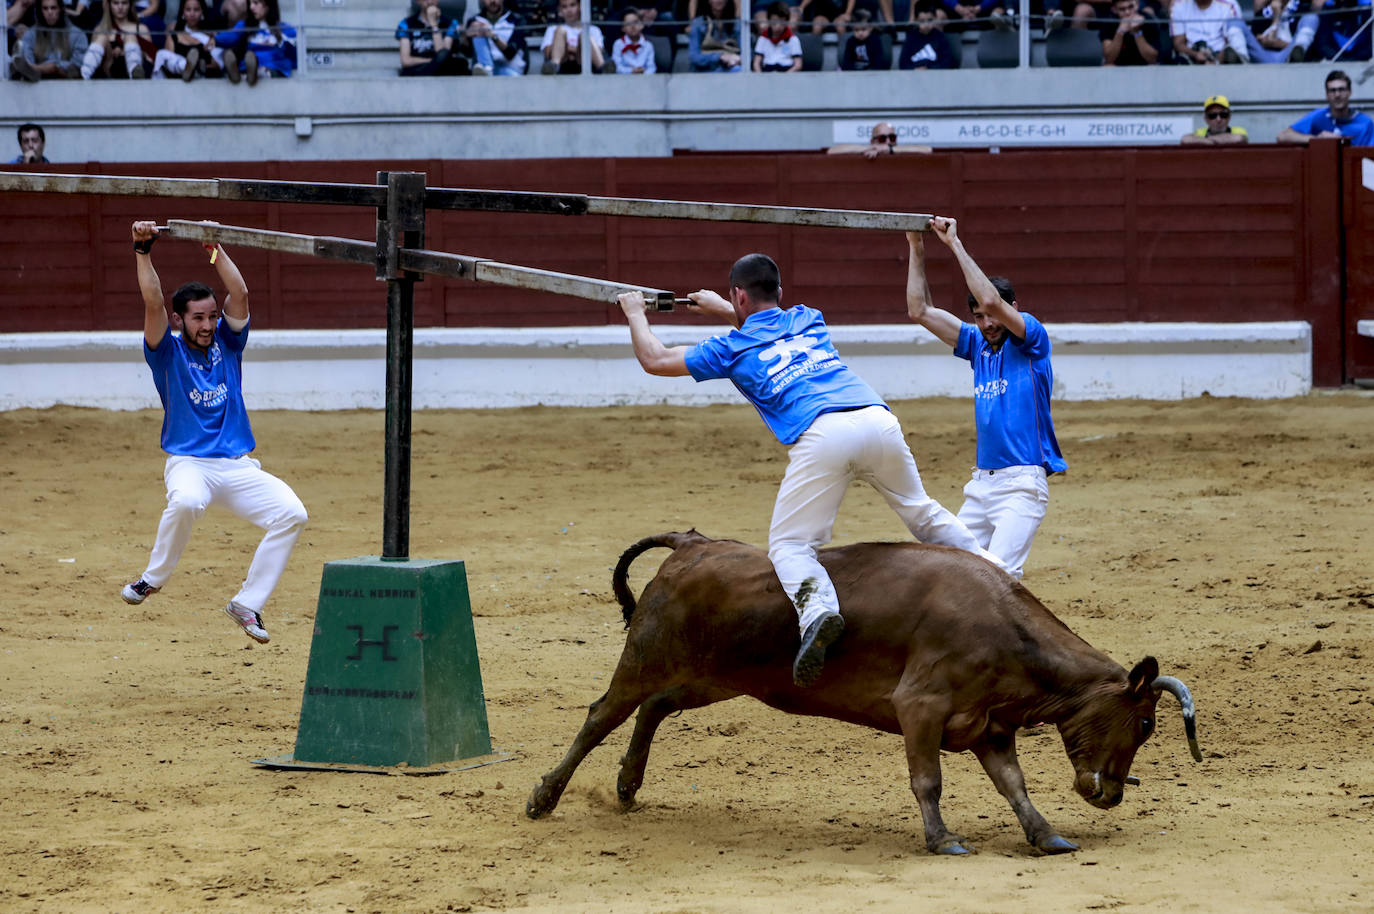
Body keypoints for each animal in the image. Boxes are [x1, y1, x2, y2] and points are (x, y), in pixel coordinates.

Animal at [524, 530, 1203, 852]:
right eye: (1146, 724)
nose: (1109, 795)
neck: (1003, 630)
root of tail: (693, 543)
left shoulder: (989, 726)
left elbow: (1014, 786)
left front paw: (1047, 837)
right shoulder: (921, 710)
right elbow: (927, 780)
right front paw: (942, 840)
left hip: (714, 679)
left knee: (655, 708)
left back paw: (627, 786)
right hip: (646, 658)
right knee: (602, 715)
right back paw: (543, 798)